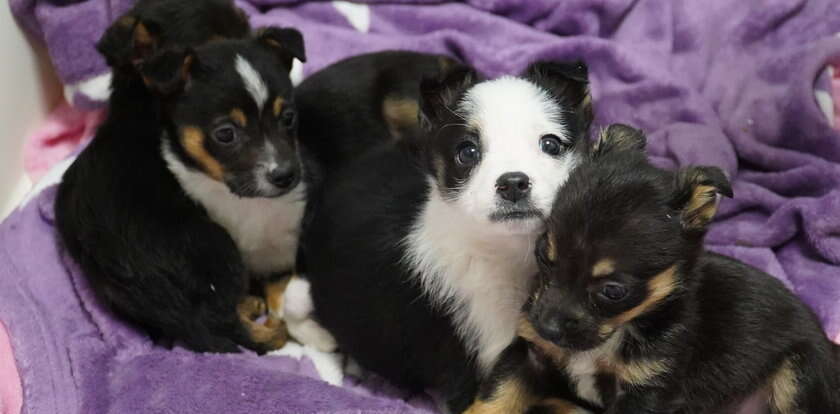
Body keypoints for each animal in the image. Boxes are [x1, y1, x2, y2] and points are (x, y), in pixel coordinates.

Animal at [466, 124, 840, 412]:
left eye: (613, 291)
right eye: (543, 253)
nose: (545, 327)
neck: (620, 331)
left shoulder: (647, 389)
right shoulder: (529, 355)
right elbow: (494, 399)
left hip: (799, 375)